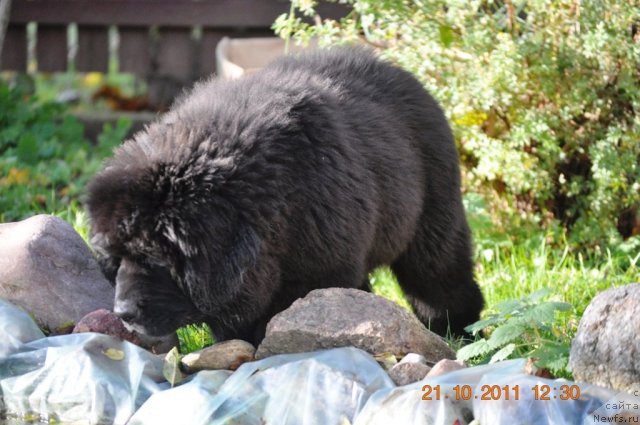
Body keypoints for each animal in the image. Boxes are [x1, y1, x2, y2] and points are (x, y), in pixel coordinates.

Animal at [86, 47, 484, 344]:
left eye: (155, 257)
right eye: (115, 259)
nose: (122, 313)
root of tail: (399, 72)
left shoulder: (321, 266)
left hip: (433, 218)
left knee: (438, 275)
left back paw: (458, 330)